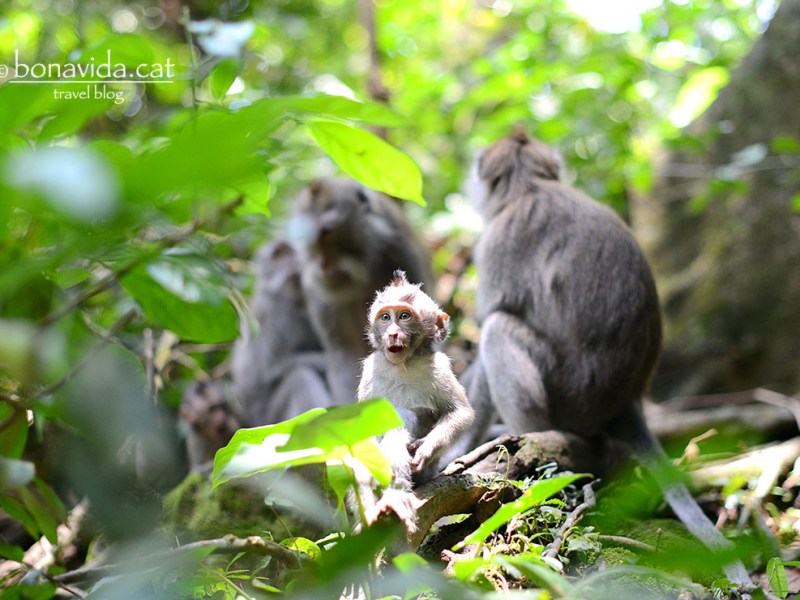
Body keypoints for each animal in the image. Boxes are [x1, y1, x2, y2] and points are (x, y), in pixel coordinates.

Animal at [231, 240, 332, 427]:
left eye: (290, 253)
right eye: (278, 255)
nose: (291, 264)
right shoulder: (274, 311)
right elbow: (273, 368)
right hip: (272, 418)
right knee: (300, 378)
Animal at [288, 177, 434, 407]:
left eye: (327, 231)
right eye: (307, 237)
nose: (323, 264)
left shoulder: (400, 253)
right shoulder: (321, 294)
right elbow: (345, 351)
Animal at [354, 270, 474, 530]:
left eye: (404, 316)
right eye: (386, 317)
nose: (392, 333)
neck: (404, 365)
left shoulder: (439, 367)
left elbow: (461, 413)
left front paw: (425, 449)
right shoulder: (370, 371)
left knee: (402, 417)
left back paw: (395, 496)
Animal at [463, 126, 750, 586]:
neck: (532, 186)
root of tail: (627, 398)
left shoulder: (498, 243)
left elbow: (494, 315)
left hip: (570, 400)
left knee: (498, 329)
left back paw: (528, 434)